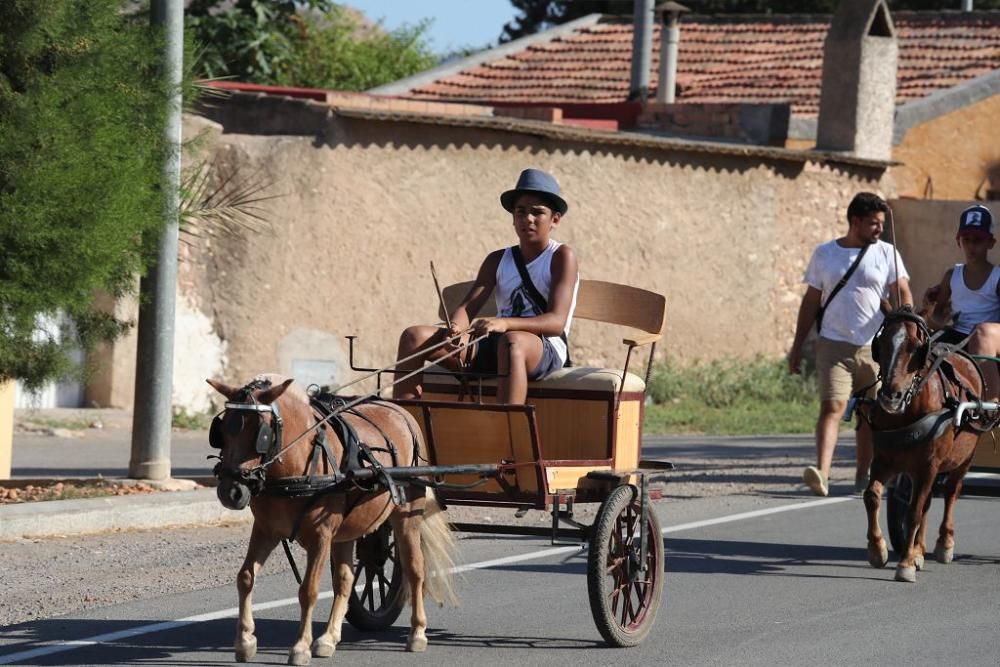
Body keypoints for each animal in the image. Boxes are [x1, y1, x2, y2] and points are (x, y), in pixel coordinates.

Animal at [207, 374, 458, 664]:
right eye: (222, 430)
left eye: (261, 433)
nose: (231, 492)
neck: (297, 463)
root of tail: (401, 412)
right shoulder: (266, 530)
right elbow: (246, 577)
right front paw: (245, 640)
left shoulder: (320, 536)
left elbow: (308, 590)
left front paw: (300, 647)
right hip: (347, 531)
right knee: (345, 579)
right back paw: (328, 638)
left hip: (406, 518)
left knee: (415, 568)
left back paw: (417, 632)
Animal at [860, 306, 984, 580]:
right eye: (880, 343)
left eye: (917, 347)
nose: (891, 397)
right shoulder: (885, 460)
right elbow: (872, 496)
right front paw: (877, 549)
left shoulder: (928, 465)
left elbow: (914, 511)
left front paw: (905, 564)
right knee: (926, 501)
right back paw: (919, 550)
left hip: (964, 459)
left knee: (951, 493)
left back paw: (944, 544)